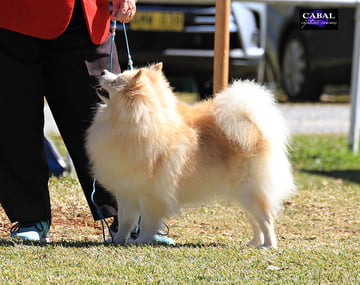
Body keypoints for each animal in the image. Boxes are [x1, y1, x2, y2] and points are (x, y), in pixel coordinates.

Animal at [86, 62, 296, 246]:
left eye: (116, 80)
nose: (103, 71)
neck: (129, 123)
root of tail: (258, 129)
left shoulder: (150, 195)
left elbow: (146, 223)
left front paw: (141, 241)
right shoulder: (127, 192)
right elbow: (125, 221)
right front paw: (118, 240)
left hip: (249, 191)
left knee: (266, 219)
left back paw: (268, 245)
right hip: (242, 196)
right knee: (255, 221)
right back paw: (255, 242)